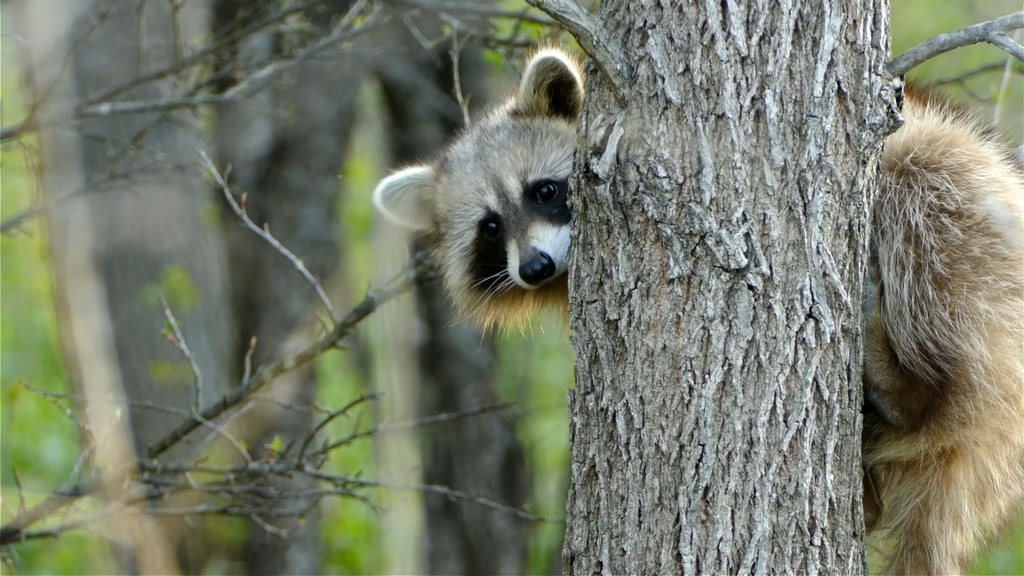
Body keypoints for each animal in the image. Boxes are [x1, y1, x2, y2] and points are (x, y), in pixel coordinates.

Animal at [372, 48, 1024, 569]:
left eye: (545, 191)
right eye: (489, 227)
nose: (533, 267)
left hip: (977, 228)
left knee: (922, 184)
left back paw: (908, 386)